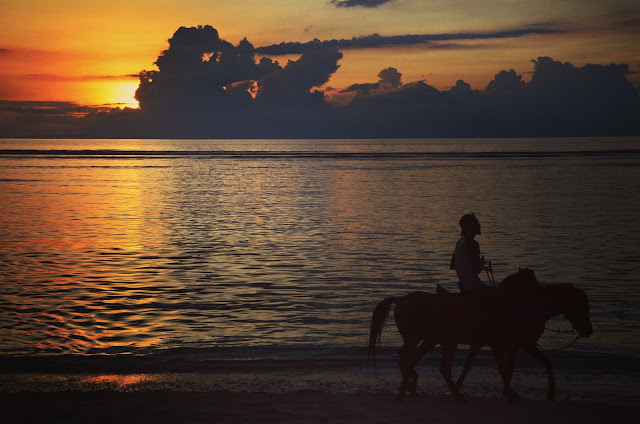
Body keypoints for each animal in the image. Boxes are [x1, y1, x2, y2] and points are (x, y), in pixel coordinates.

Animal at [368, 270, 592, 402]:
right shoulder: (519, 342)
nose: (588, 331)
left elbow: (488, 367)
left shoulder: (494, 344)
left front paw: (508, 391)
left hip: (429, 340)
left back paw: (413, 384)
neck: (521, 306)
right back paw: (410, 384)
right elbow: (541, 362)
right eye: (583, 306)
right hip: (426, 340)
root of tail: (401, 299)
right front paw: (549, 391)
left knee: (411, 358)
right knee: (414, 359)